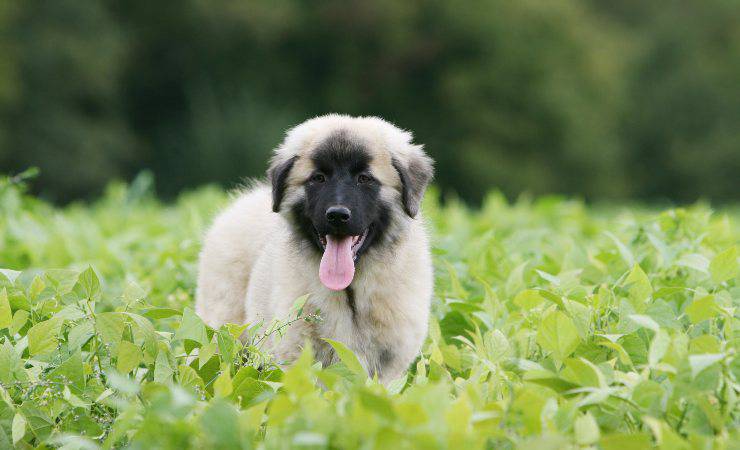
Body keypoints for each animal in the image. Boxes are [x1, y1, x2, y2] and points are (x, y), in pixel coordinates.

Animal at [197, 114, 436, 382]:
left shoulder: (388, 369)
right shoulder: (297, 358)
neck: (350, 292)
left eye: (364, 179)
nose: (337, 215)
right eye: (318, 178)